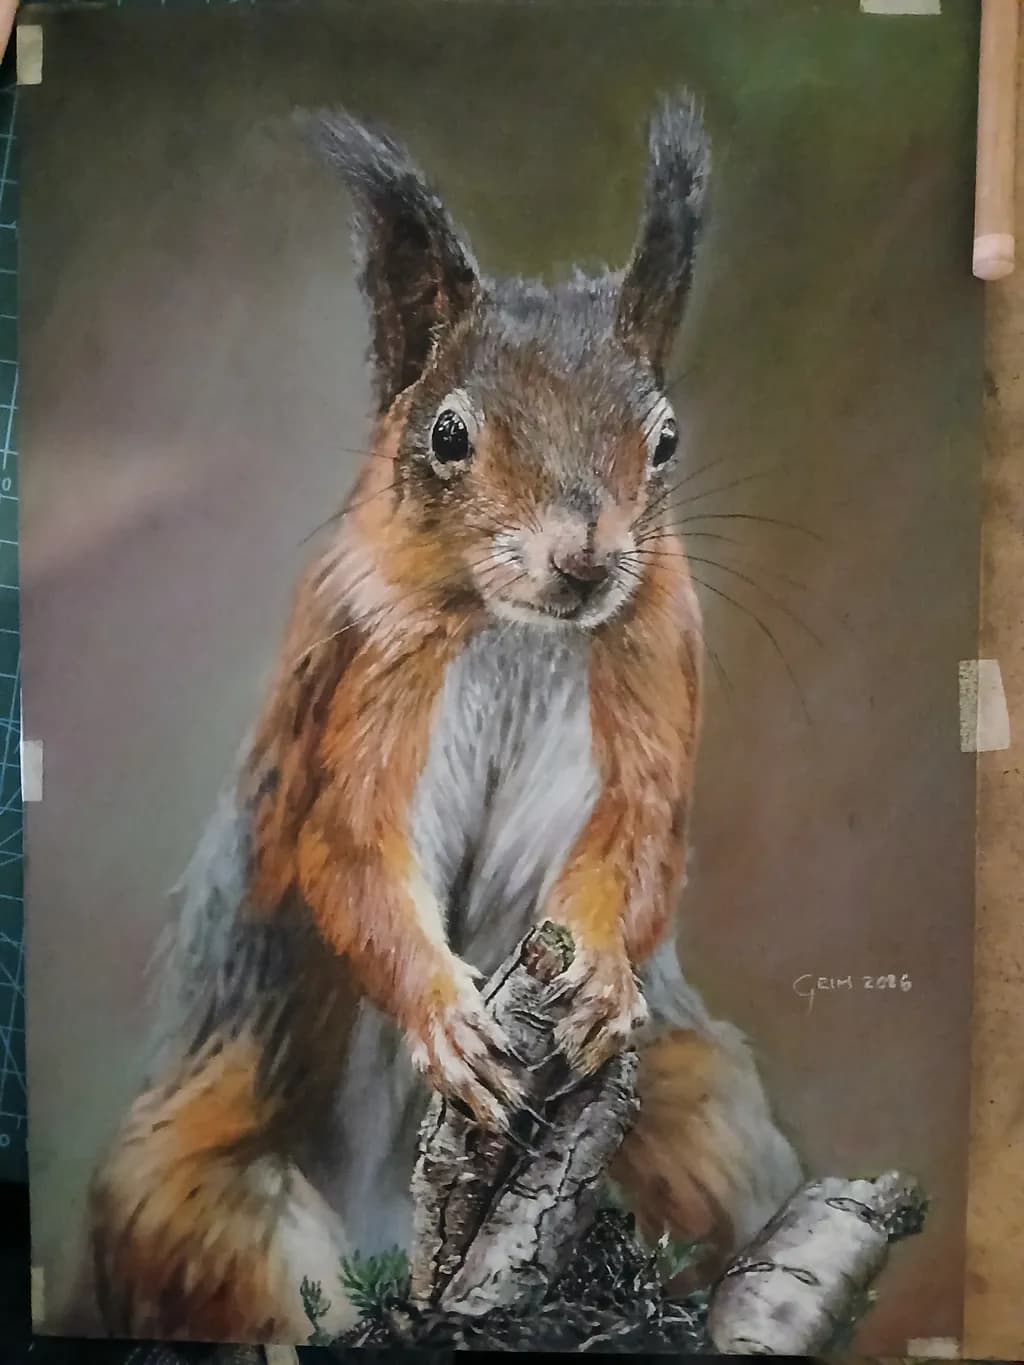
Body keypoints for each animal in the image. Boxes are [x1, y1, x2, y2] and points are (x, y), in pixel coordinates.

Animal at [87, 92, 801, 1344]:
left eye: (664, 438)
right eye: (448, 435)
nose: (585, 558)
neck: (514, 629)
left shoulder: (655, 662)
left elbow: (642, 838)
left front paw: (601, 973)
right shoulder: (367, 668)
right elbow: (350, 851)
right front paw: (445, 1020)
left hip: (700, 1127)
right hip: (217, 1210)